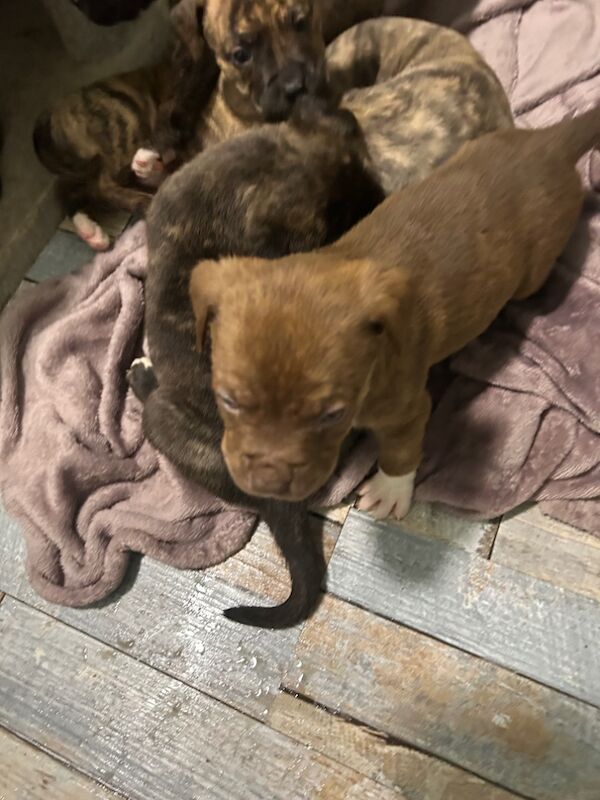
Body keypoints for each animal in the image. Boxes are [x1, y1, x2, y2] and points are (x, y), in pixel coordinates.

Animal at [190, 106, 600, 520]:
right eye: (228, 400)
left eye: (332, 415)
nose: (269, 482)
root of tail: (549, 142)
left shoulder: (407, 410)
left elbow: (401, 452)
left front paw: (391, 490)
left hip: (533, 272)